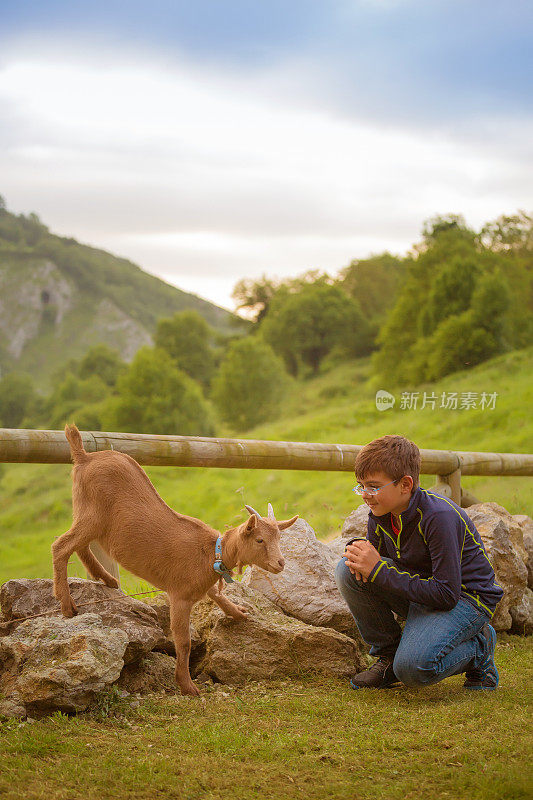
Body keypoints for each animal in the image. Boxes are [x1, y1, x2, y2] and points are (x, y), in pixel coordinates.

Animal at [53, 424, 300, 692]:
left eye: (279, 538)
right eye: (260, 540)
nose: (280, 563)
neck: (212, 552)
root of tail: (83, 456)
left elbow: (216, 595)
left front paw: (239, 613)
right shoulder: (179, 596)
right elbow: (184, 642)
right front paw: (187, 686)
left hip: (88, 516)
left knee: (79, 546)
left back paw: (107, 579)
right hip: (93, 515)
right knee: (61, 546)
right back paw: (67, 605)